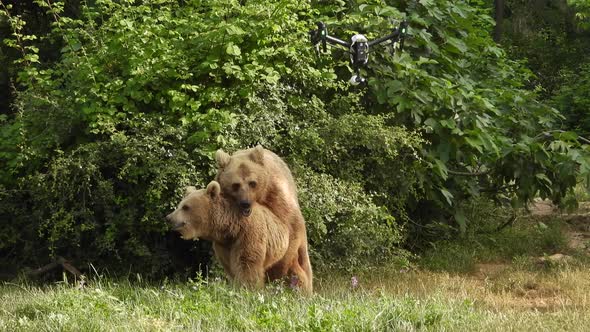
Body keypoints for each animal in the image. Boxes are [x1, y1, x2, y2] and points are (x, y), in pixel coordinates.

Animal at [168, 182, 314, 294]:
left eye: (186, 207)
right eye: (180, 205)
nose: (169, 218)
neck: (231, 228)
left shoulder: (249, 234)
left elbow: (247, 263)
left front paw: (248, 290)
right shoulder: (224, 245)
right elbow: (230, 266)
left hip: (287, 251)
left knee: (293, 271)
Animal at [214, 145, 314, 294]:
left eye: (252, 183)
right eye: (235, 185)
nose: (245, 203)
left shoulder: (277, 193)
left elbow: (291, 227)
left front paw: (276, 272)